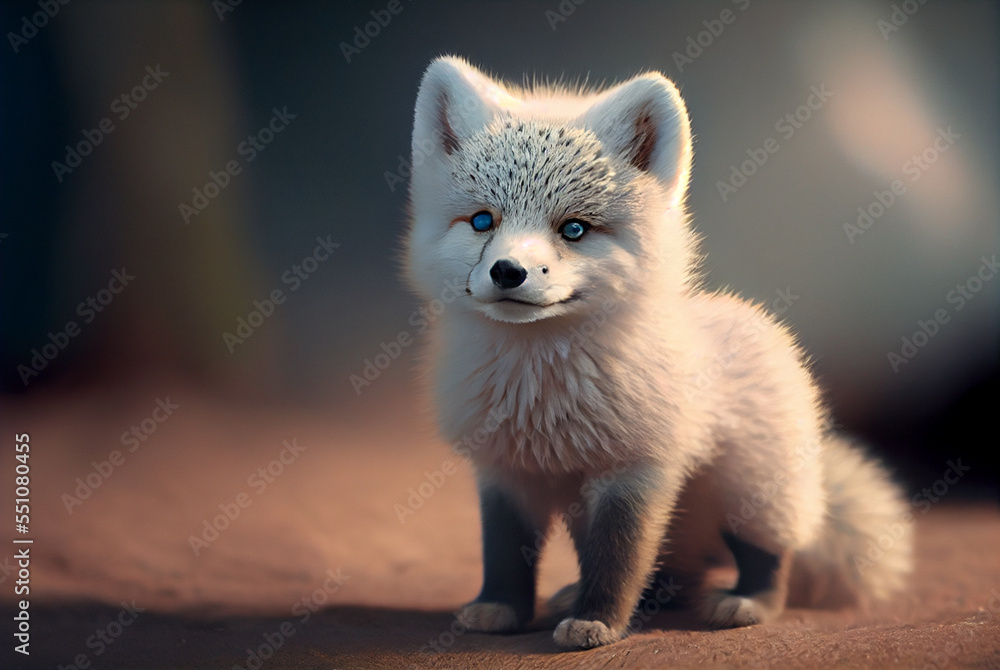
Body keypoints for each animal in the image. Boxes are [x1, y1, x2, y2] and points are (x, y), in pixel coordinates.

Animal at [402, 55, 912, 649]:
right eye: (483, 220)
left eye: (574, 229)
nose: (509, 271)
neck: (541, 397)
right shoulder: (506, 473)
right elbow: (506, 556)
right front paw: (501, 609)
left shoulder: (635, 472)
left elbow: (617, 560)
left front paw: (598, 622)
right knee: (670, 572)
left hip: (752, 496)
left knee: (767, 557)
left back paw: (747, 602)